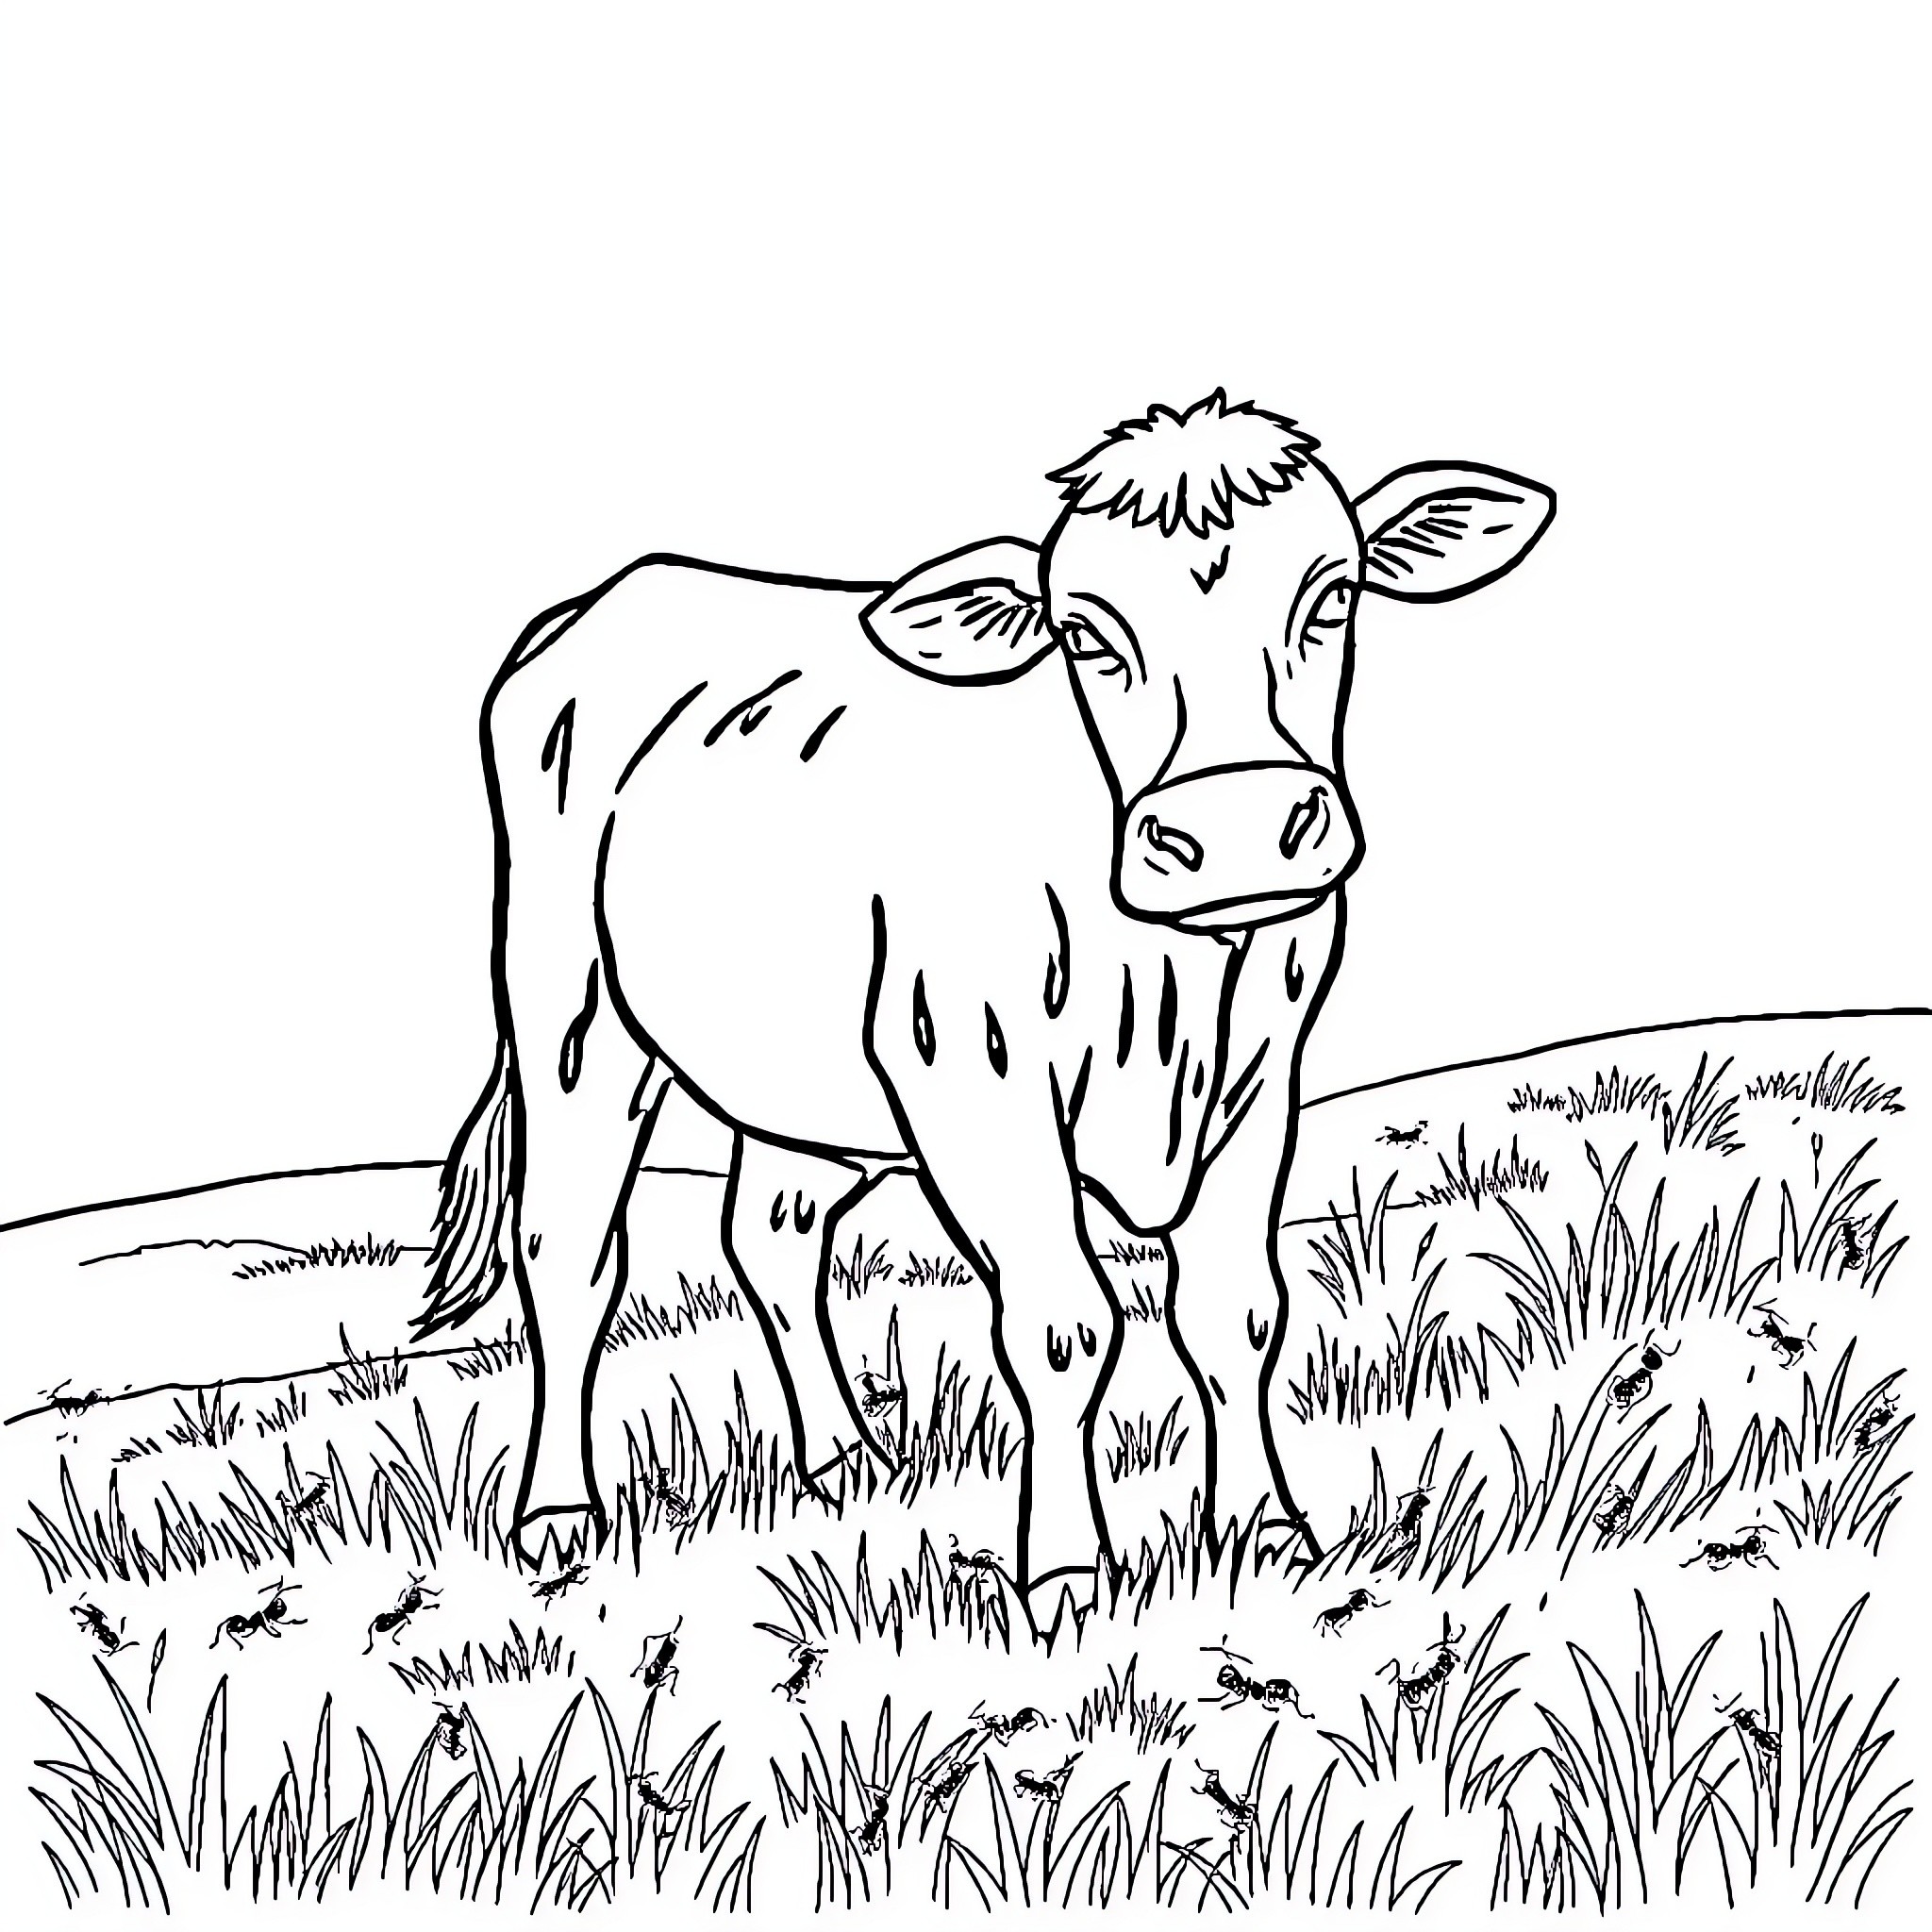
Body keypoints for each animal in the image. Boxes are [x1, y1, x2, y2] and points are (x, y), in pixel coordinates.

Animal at [414, 391, 1554, 1623]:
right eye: (1086, 635)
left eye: (1331, 594)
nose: (1238, 828)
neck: (1167, 980)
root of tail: (612, 596)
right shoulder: (971, 1075)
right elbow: (1062, 1325)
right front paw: (1062, 1574)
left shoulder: (1258, 1080)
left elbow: (1237, 1310)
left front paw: (1265, 1531)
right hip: (570, 1005)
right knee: (567, 1248)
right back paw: (557, 1514)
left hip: (800, 1073)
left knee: (770, 1231)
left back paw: (845, 1461)